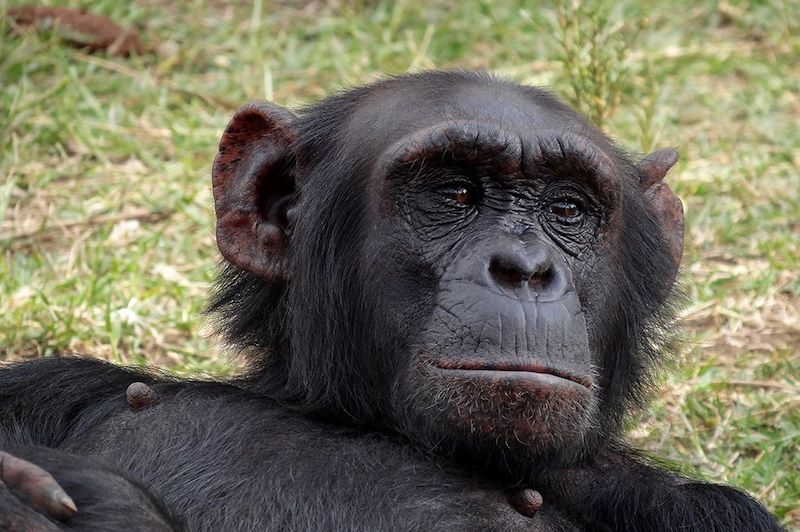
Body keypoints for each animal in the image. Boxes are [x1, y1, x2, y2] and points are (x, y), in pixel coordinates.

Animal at [0, 71, 788, 532]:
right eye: (455, 192)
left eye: (567, 209)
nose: (525, 269)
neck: (364, 422)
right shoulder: (49, 388)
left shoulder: (706, 517)